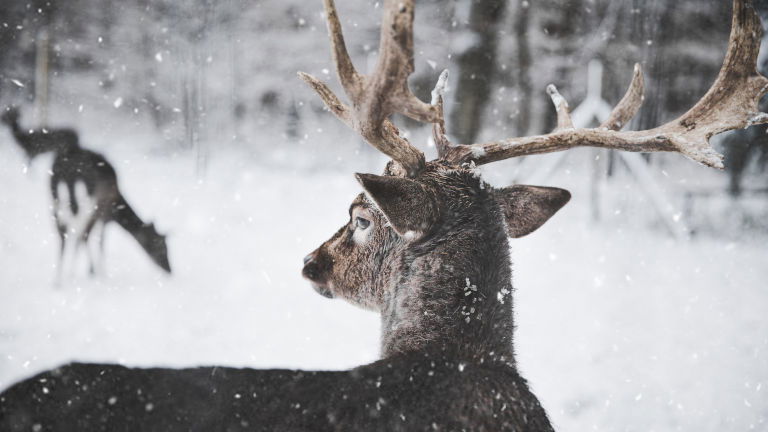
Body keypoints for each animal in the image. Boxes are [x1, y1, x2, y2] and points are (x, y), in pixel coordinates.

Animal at [1, 106, 171, 282]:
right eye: (161, 246)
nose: (170, 270)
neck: (118, 206)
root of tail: (66, 171)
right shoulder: (104, 212)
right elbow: (98, 240)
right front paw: (98, 273)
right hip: (85, 200)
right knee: (77, 232)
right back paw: (71, 274)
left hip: (55, 196)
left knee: (62, 233)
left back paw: (59, 279)